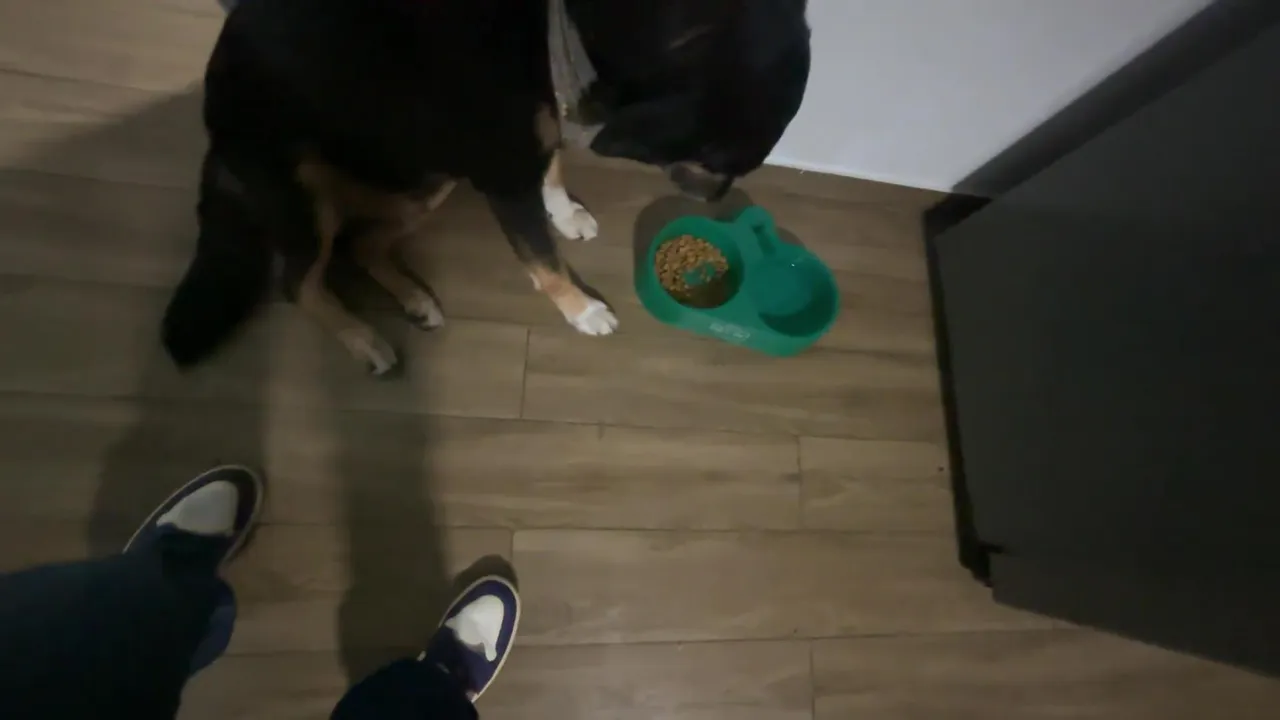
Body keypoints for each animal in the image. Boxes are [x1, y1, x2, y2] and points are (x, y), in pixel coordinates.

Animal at [162, 0, 811, 375]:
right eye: (722, 158)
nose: (720, 201)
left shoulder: (533, 130)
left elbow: (552, 171)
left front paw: (565, 213)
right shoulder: (502, 169)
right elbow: (542, 261)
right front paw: (582, 309)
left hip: (427, 175)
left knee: (362, 244)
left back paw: (415, 298)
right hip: (306, 195)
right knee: (300, 282)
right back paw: (363, 338)